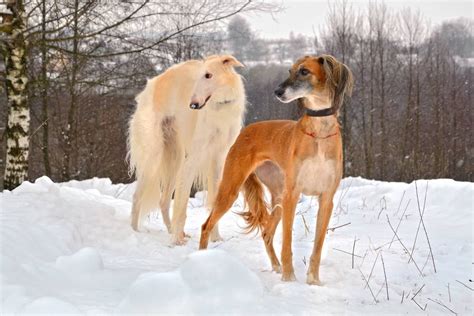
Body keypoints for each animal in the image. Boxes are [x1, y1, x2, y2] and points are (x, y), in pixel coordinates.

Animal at [127, 55, 244, 244]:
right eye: (199, 76)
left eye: (208, 75)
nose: (193, 105)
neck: (220, 107)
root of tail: (151, 85)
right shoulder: (193, 159)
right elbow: (181, 207)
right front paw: (177, 240)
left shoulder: (218, 160)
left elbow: (214, 204)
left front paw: (216, 239)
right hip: (154, 157)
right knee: (138, 197)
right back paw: (137, 232)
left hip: (175, 159)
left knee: (164, 201)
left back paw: (171, 231)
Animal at [198, 54, 354, 284]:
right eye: (290, 70)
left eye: (304, 71)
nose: (277, 92)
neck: (319, 132)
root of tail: (245, 131)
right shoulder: (292, 195)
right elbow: (287, 243)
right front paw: (290, 279)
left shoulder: (326, 199)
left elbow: (317, 246)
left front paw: (313, 281)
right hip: (232, 188)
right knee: (207, 225)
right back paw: (199, 259)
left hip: (278, 195)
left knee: (267, 232)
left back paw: (275, 266)